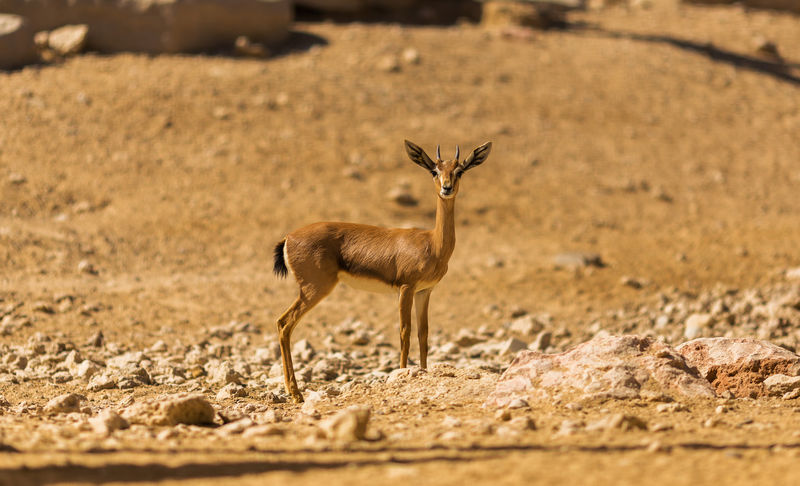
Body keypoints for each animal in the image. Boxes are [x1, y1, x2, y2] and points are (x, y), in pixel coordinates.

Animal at [272, 139, 490, 400]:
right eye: (434, 171)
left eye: (459, 171)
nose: (446, 188)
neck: (432, 243)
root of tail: (288, 237)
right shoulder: (406, 288)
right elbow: (405, 332)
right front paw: (403, 374)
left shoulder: (424, 291)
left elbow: (423, 334)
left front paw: (423, 373)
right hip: (315, 289)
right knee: (284, 323)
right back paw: (296, 394)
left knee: (283, 324)